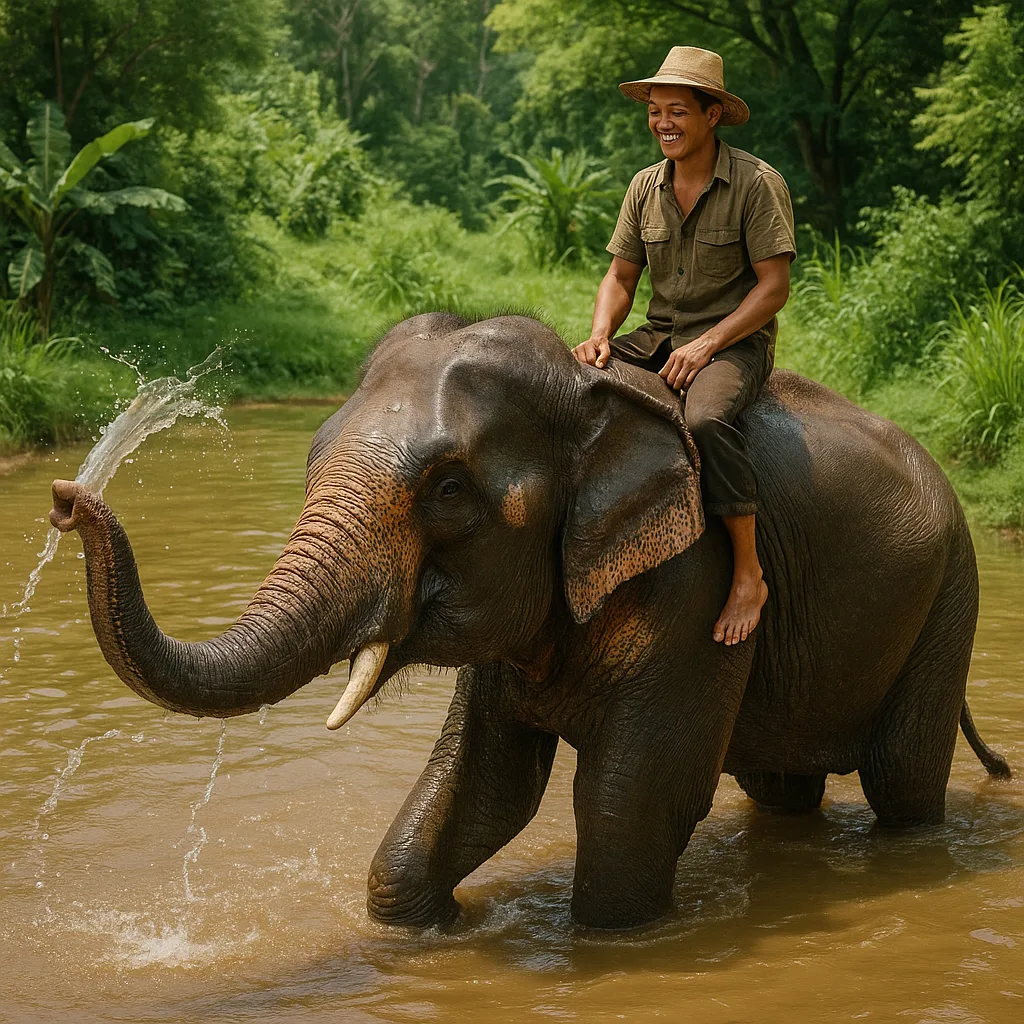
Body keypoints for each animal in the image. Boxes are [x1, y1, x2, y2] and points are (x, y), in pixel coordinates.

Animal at [50, 312, 1011, 931]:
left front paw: (609, 939)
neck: (589, 398)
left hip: (949, 597)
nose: (67, 497)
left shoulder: (697, 582)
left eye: (448, 490)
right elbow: (484, 784)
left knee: (900, 780)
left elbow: (631, 803)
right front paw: (426, 924)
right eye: (315, 454)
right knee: (781, 787)